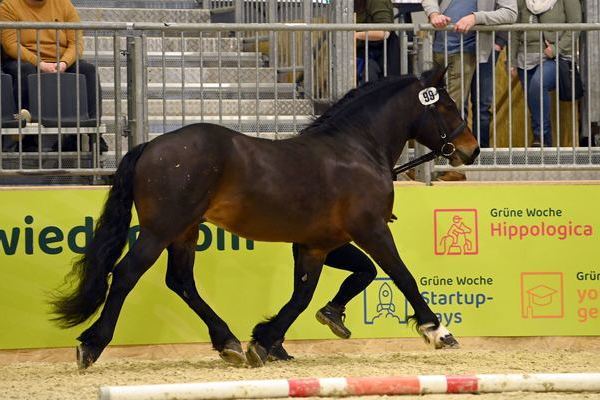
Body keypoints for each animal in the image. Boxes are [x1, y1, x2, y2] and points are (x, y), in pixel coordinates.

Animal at [52, 66, 478, 368]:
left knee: (181, 281)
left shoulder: (317, 245)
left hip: (185, 231)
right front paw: (438, 331)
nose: (471, 149)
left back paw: (228, 342)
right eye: (447, 105)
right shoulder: (371, 231)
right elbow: (402, 276)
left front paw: (271, 338)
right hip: (160, 230)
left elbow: (315, 292)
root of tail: (151, 145)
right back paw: (92, 345)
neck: (356, 148)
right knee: (126, 274)